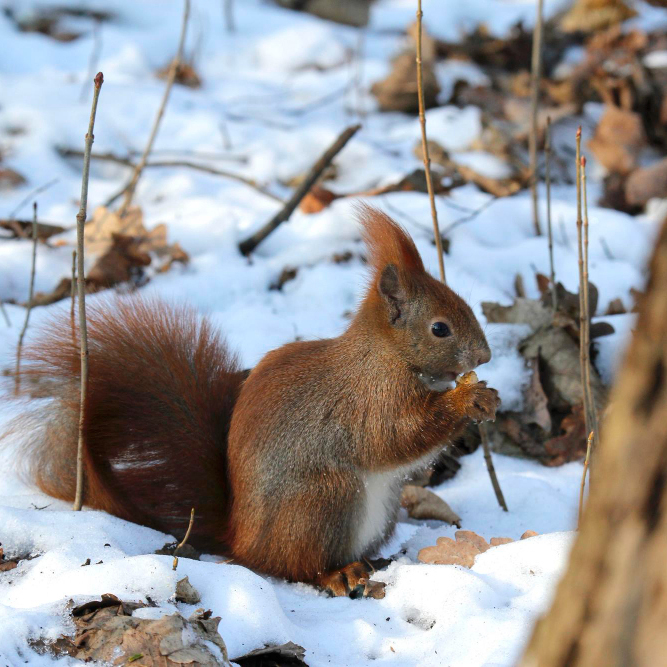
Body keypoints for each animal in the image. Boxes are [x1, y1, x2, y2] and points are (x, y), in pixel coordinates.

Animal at [10, 205, 498, 600]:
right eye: (439, 328)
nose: (485, 356)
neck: (385, 354)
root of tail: (238, 537)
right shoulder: (369, 399)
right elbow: (395, 436)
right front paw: (466, 398)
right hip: (324, 500)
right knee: (295, 567)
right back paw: (338, 573)